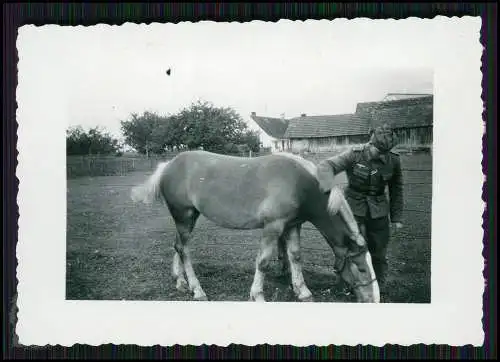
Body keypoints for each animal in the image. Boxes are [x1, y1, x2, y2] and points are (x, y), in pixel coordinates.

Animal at [130, 150, 378, 302]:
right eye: (362, 269)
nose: (375, 300)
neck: (299, 184)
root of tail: (168, 165)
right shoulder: (273, 228)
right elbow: (263, 261)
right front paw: (257, 294)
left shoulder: (292, 226)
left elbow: (295, 256)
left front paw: (303, 291)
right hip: (184, 216)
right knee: (184, 250)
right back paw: (197, 289)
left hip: (187, 218)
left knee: (177, 247)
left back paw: (180, 281)